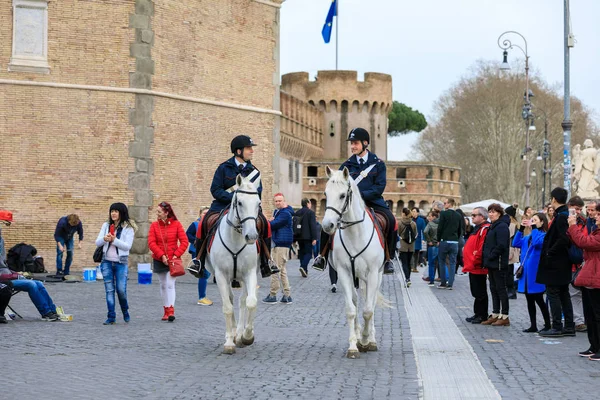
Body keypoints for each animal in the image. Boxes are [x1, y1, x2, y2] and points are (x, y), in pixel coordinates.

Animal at [206, 174, 260, 354]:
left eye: (258, 204)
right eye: (240, 202)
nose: (251, 236)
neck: (236, 238)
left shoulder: (250, 272)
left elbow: (250, 302)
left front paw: (247, 336)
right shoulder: (221, 275)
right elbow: (227, 307)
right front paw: (229, 342)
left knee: (243, 300)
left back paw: (240, 334)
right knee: (229, 299)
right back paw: (234, 333)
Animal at [322, 166, 392, 360]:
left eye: (342, 195)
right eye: (325, 193)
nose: (327, 225)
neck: (355, 233)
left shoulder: (374, 273)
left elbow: (368, 310)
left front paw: (367, 341)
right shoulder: (344, 273)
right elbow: (351, 310)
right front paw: (354, 345)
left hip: (377, 276)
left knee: (371, 303)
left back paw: (371, 339)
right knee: (355, 299)